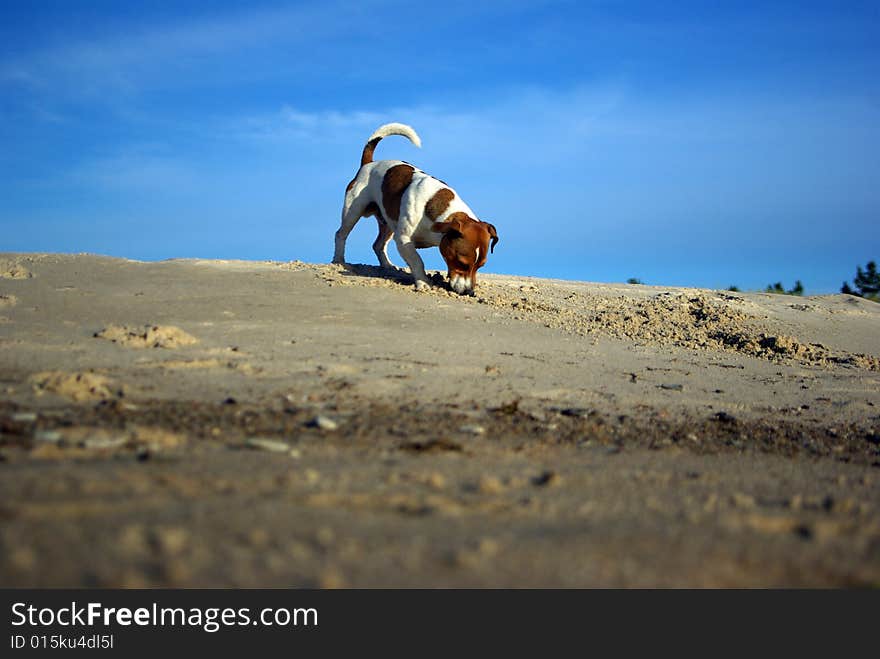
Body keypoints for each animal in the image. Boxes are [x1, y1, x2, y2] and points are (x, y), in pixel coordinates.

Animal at [332, 123, 498, 296]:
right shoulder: (403, 239)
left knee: (378, 245)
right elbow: (417, 261)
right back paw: (338, 260)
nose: (469, 292)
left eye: (480, 266)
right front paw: (423, 282)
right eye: (462, 263)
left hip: (389, 221)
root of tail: (368, 163)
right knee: (341, 234)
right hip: (353, 211)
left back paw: (387, 265)